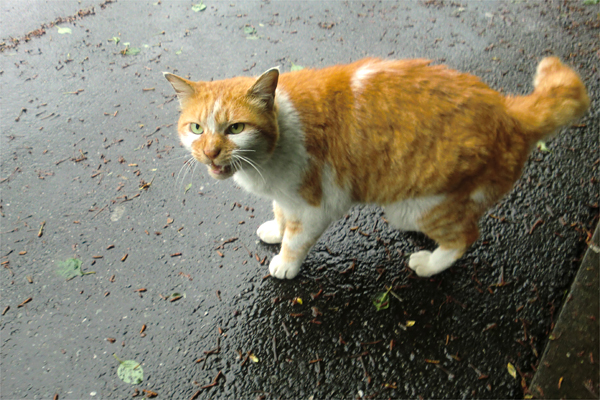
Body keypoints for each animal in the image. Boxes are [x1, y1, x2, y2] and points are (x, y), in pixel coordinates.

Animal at [166, 57, 588, 278]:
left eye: (235, 128)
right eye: (197, 128)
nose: (210, 152)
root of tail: (507, 108)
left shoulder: (317, 205)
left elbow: (297, 239)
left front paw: (285, 263)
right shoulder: (287, 196)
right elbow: (282, 214)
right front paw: (276, 228)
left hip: (416, 206)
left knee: (465, 236)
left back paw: (429, 263)